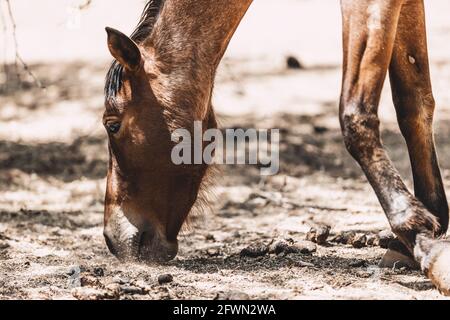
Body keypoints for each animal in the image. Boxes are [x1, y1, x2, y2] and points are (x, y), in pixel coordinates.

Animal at [102, 0, 450, 296]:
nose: (112, 238)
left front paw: (422, 242)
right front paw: (422, 230)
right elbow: (412, 102)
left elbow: (355, 114)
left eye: (112, 124)